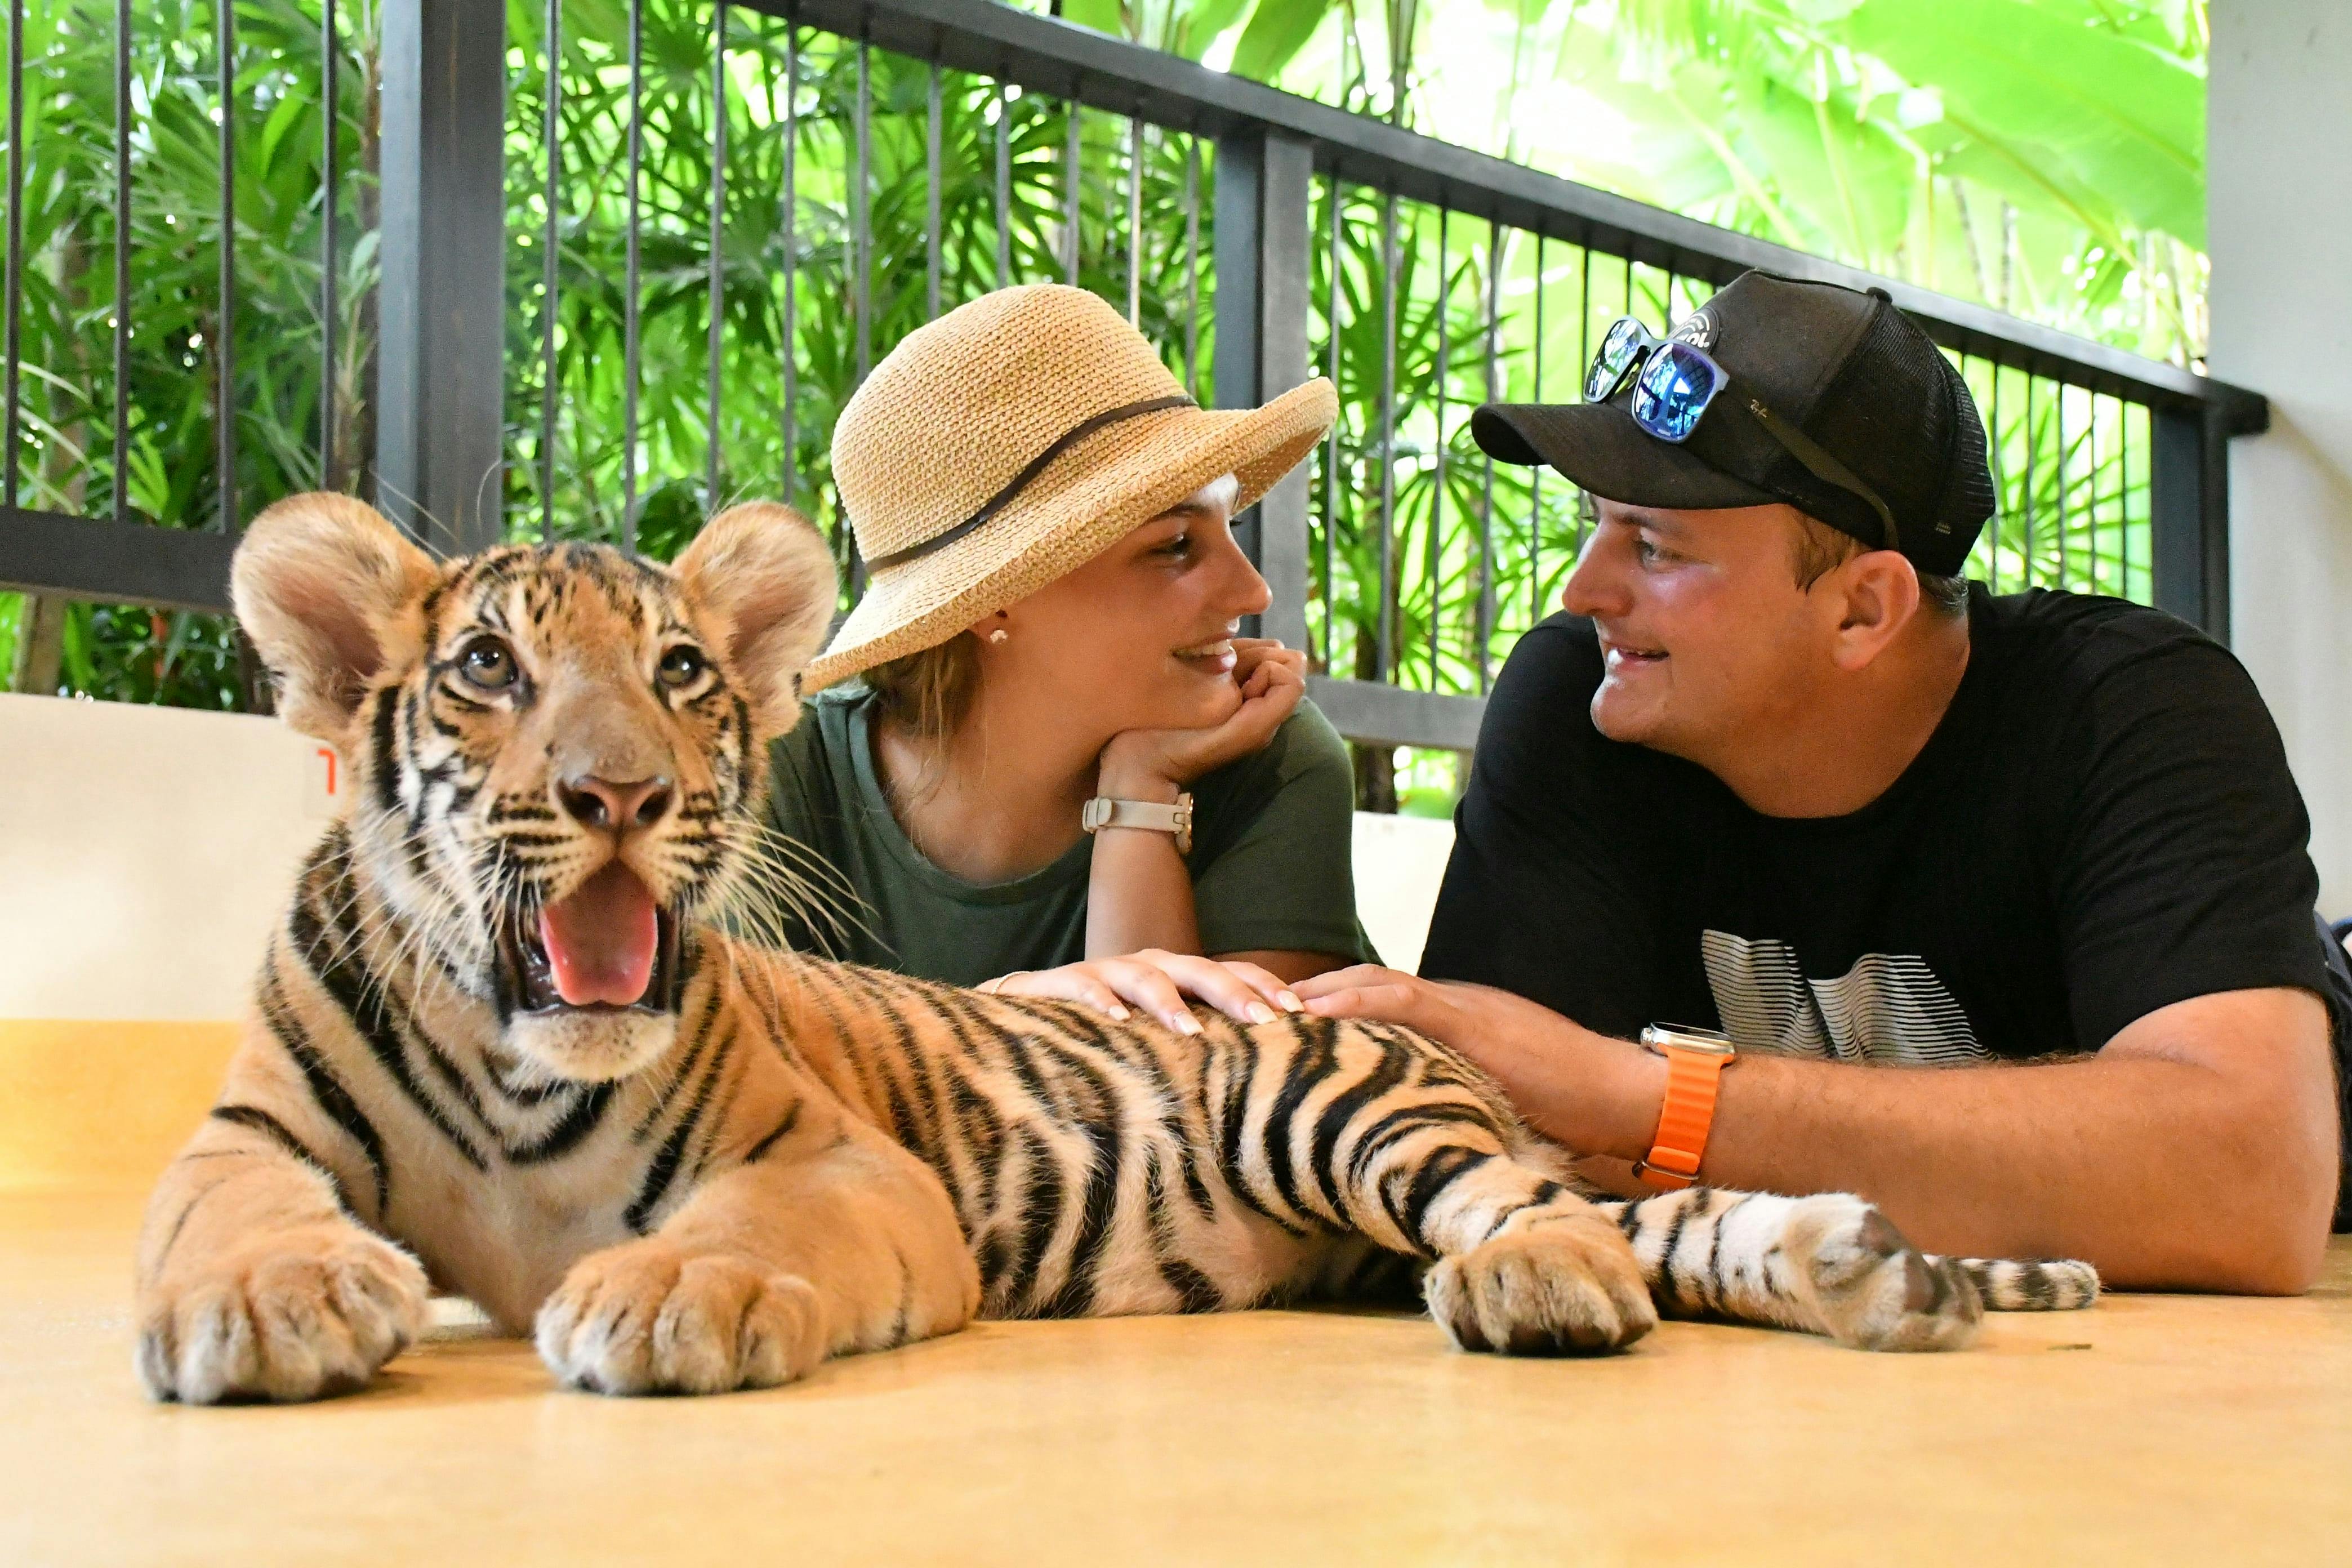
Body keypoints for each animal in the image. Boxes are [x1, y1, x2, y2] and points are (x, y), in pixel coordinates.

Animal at [132, 492, 2097, 1404]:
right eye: (490, 670)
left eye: (681, 674)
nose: (625, 794)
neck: (516, 1063)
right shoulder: (249, 1134)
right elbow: (218, 1212)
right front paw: (269, 1299)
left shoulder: (831, 1163)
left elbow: (736, 1233)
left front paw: (669, 1298)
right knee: (1649, 1226)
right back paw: (1872, 1270)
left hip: (1351, 1111)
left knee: (1546, 1218)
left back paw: (1561, 1287)